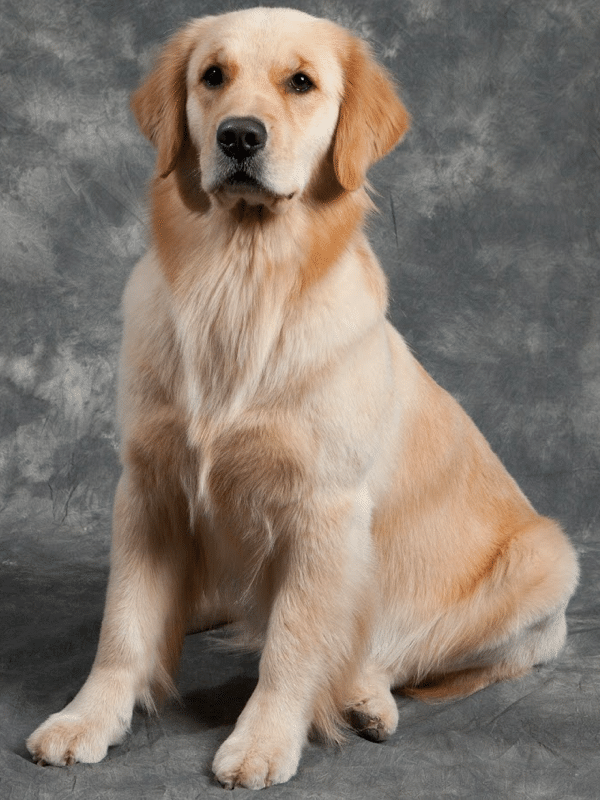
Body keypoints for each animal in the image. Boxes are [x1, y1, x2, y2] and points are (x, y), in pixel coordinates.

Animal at [25, 9, 580, 792]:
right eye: (213, 76)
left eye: (301, 82)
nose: (238, 137)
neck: (240, 284)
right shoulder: (148, 484)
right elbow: (124, 625)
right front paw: (87, 718)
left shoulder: (325, 507)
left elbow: (295, 640)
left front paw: (264, 739)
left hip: (547, 561)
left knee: (390, 650)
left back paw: (365, 700)